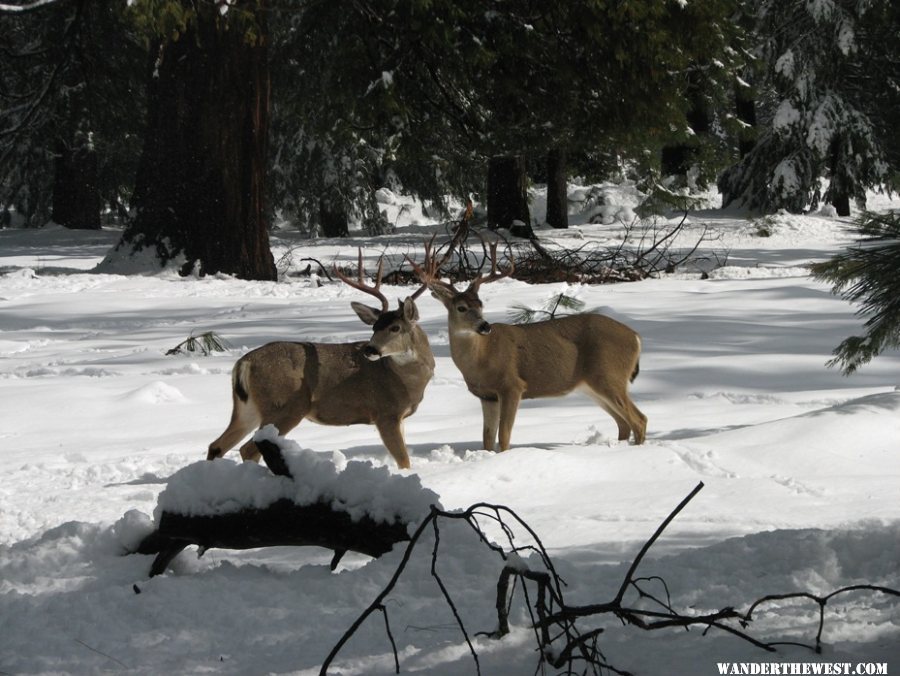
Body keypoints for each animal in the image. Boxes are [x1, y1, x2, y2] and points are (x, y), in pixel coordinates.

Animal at [210, 251, 436, 468]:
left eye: (395, 327)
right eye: (374, 327)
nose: (369, 349)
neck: (407, 382)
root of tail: (244, 363)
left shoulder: (399, 417)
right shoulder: (385, 412)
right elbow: (404, 462)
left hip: (246, 408)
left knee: (217, 445)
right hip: (285, 404)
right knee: (248, 448)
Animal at [412, 239, 652, 454]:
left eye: (480, 305)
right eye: (461, 307)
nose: (484, 326)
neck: (481, 360)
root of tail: (636, 337)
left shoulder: (512, 385)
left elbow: (504, 435)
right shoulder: (487, 396)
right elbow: (487, 438)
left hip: (609, 375)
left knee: (639, 420)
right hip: (592, 385)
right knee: (623, 423)